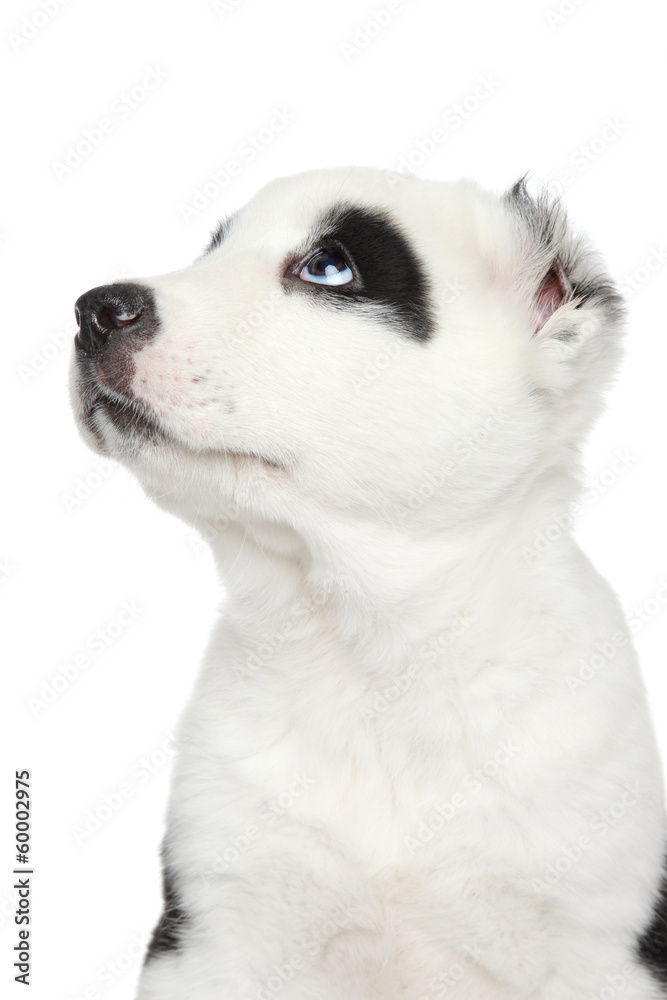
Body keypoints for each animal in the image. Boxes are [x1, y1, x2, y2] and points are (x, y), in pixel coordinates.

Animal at [70, 168, 664, 996]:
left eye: (329, 268)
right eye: (212, 250)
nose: (95, 310)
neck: (370, 650)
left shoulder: (601, 945)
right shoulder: (209, 939)